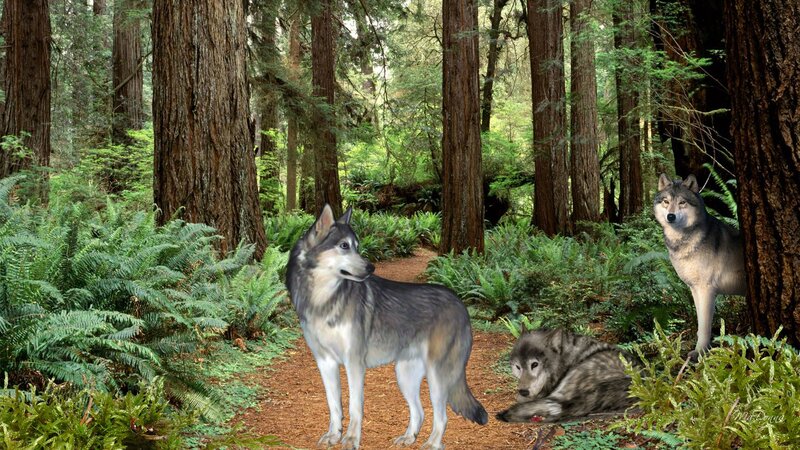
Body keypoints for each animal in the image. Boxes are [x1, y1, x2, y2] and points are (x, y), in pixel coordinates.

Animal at [285, 205, 488, 450]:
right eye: (344, 246)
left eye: (357, 246)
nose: (371, 267)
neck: (323, 299)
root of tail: (460, 303)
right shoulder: (325, 363)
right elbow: (334, 406)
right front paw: (333, 435)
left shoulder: (354, 364)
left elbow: (355, 407)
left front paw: (351, 439)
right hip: (405, 375)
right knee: (419, 412)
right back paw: (408, 438)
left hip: (437, 376)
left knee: (442, 416)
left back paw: (431, 443)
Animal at [654, 174, 746, 356]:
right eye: (666, 201)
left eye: (682, 202)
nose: (671, 216)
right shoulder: (694, 289)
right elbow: (699, 324)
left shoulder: (706, 290)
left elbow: (704, 327)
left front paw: (700, 354)